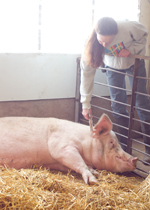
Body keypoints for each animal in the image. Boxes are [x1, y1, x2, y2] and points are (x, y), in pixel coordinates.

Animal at [0, 113, 138, 184]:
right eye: (111, 143)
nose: (135, 159)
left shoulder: (57, 162)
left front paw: (95, 172)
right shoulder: (62, 147)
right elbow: (80, 163)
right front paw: (93, 180)